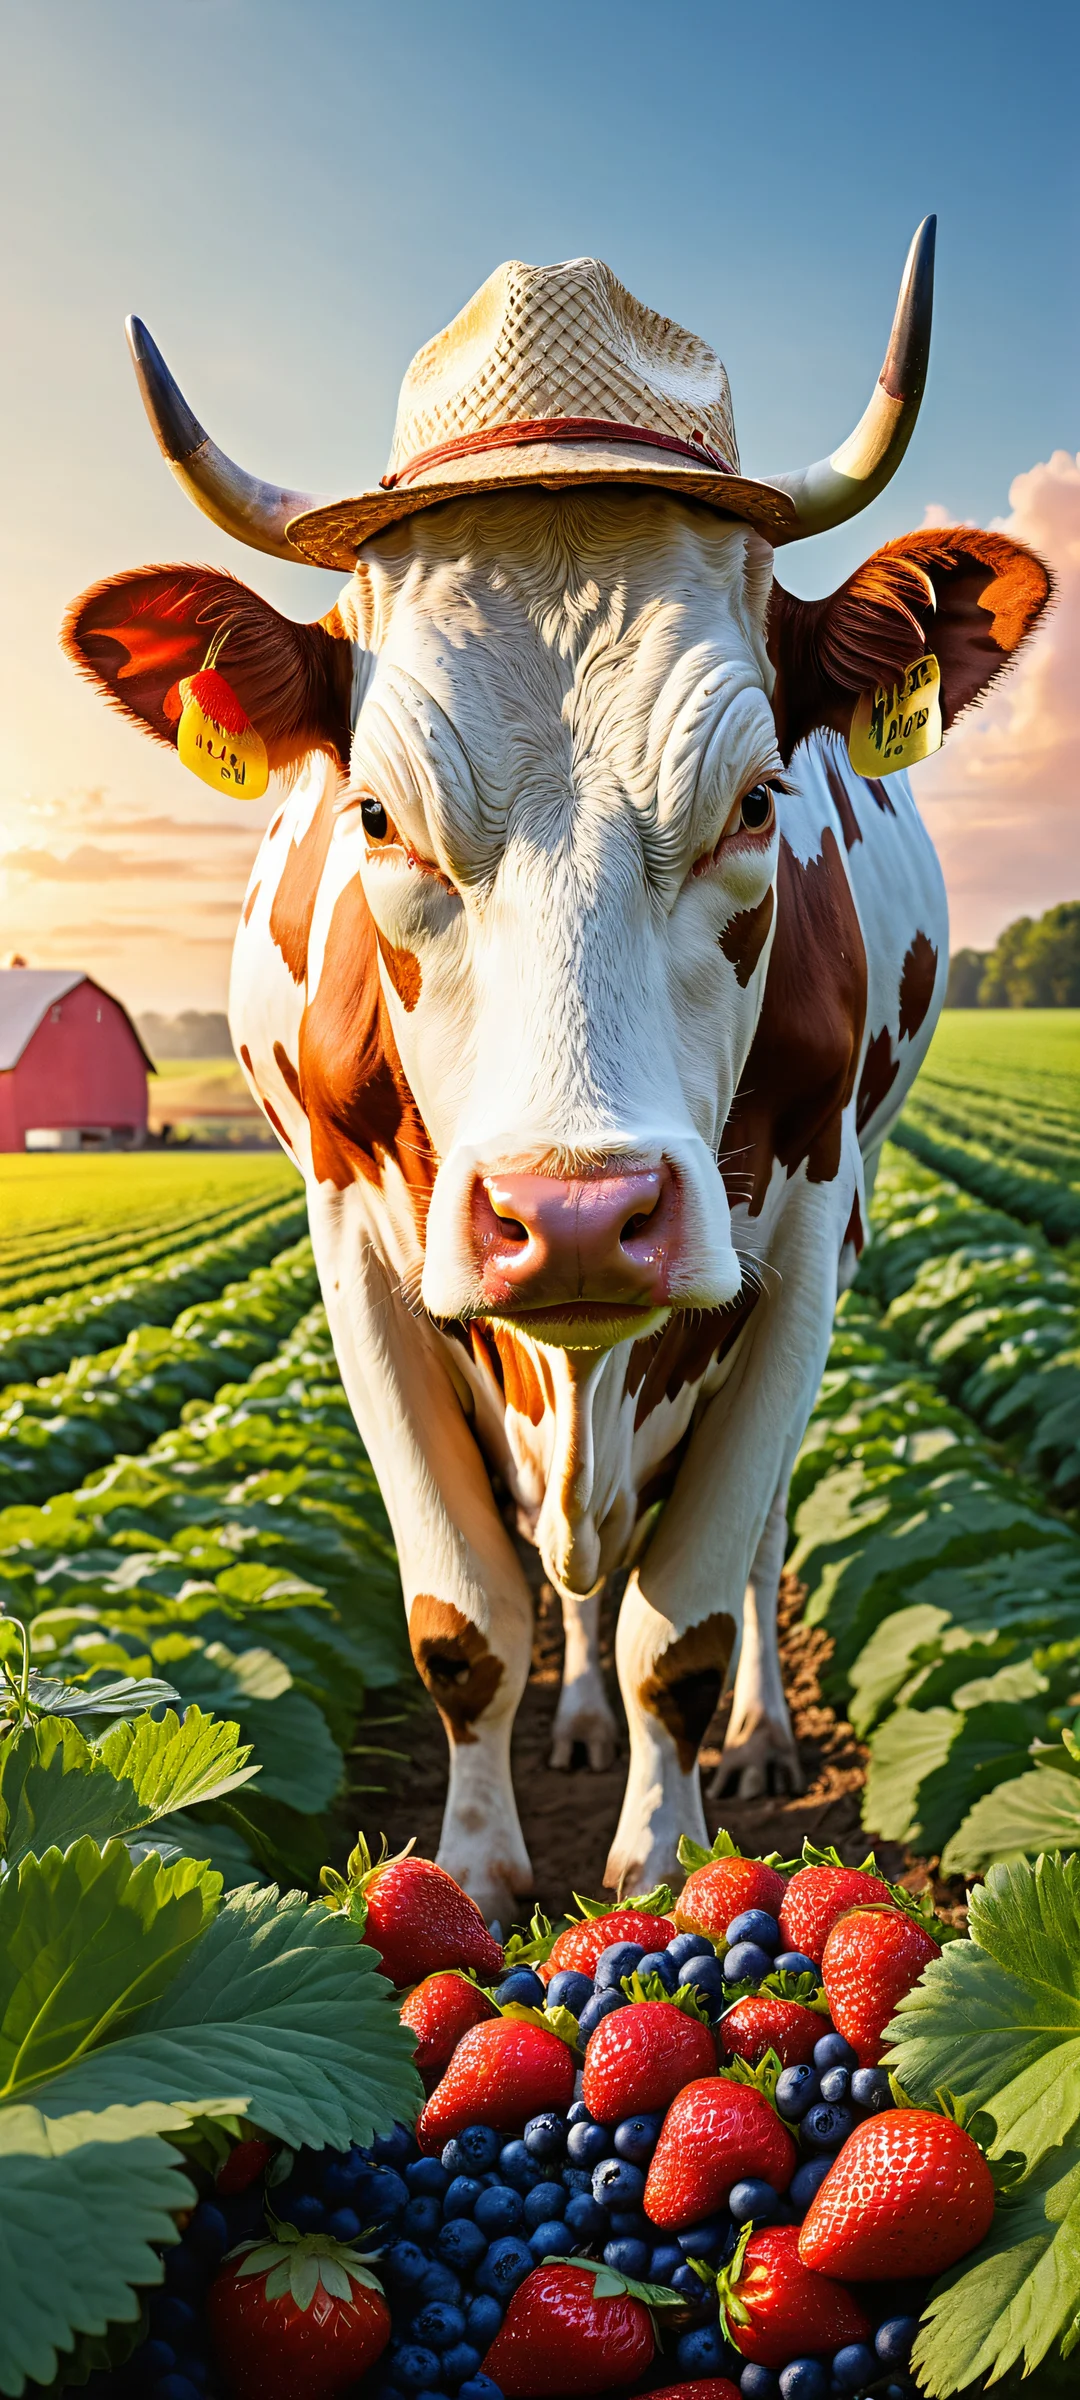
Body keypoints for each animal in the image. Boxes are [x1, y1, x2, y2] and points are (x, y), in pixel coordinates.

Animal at [63, 236, 1051, 1919]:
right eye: (375, 813)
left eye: (756, 800)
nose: (578, 1215)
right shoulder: (358, 1250)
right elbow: (467, 1621)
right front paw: (472, 1870)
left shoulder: (800, 1245)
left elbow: (690, 1621)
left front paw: (662, 1866)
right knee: (565, 1561)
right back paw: (578, 1714)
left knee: (738, 1546)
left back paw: (755, 1739)